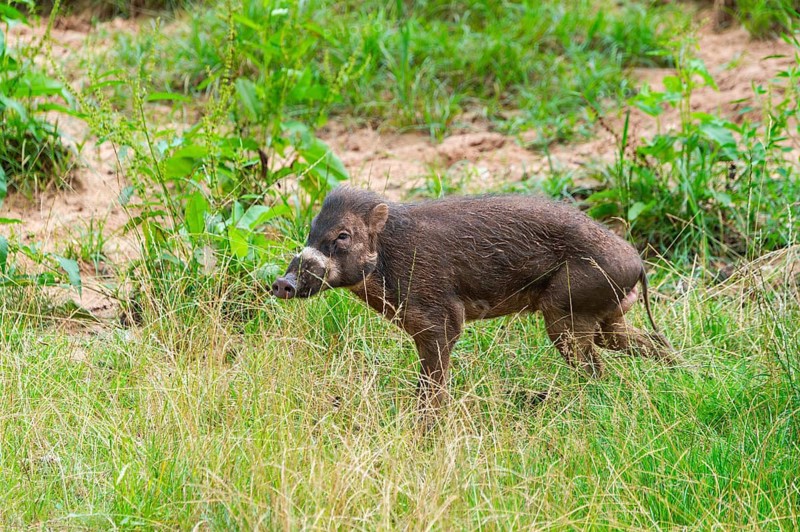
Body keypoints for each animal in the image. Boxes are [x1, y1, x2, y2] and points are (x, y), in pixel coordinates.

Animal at [272, 187, 671, 411]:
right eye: (311, 231)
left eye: (343, 235)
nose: (281, 283)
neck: (389, 256)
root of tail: (637, 264)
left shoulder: (439, 322)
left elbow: (432, 386)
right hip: (606, 317)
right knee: (651, 340)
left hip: (566, 316)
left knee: (598, 369)